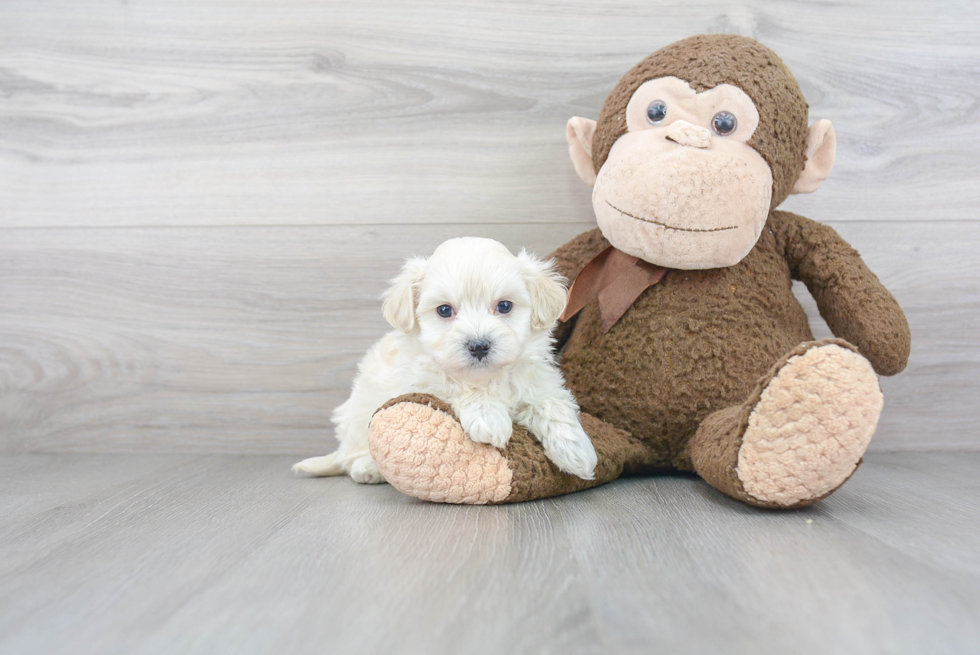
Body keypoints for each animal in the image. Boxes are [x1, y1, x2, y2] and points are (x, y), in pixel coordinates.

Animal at [290, 238, 596, 484]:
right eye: (445, 310)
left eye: (505, 306)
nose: (479, 345)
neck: (488, 377)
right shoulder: (422, 378)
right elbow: (457, 385)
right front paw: (489, 418)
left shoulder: (539, 383)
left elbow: (552, 405)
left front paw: (577, 451)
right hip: (359, 412)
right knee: (351, 456)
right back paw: (368, 468)